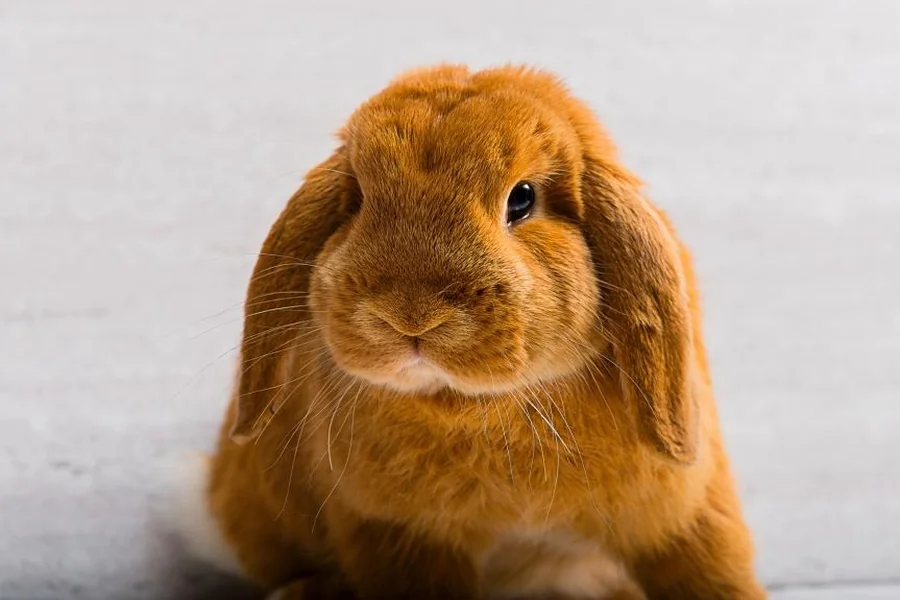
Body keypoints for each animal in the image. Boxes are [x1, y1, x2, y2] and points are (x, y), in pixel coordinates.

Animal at [187, 65, 767, 599]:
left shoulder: (686, 517)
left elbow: (715, 574)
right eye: (357, 199)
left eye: (522, 199)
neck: (485, 409)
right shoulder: (399, 536)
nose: (410, 313)